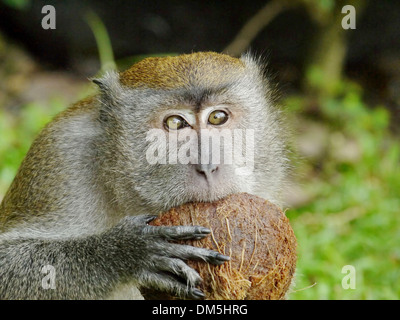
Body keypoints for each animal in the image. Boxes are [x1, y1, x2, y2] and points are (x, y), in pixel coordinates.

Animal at [0, 51, 288, 298]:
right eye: (175, 123)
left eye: (218, 117)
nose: (207, 166)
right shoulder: (61, 155)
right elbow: (7, 263)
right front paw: (125, 251)